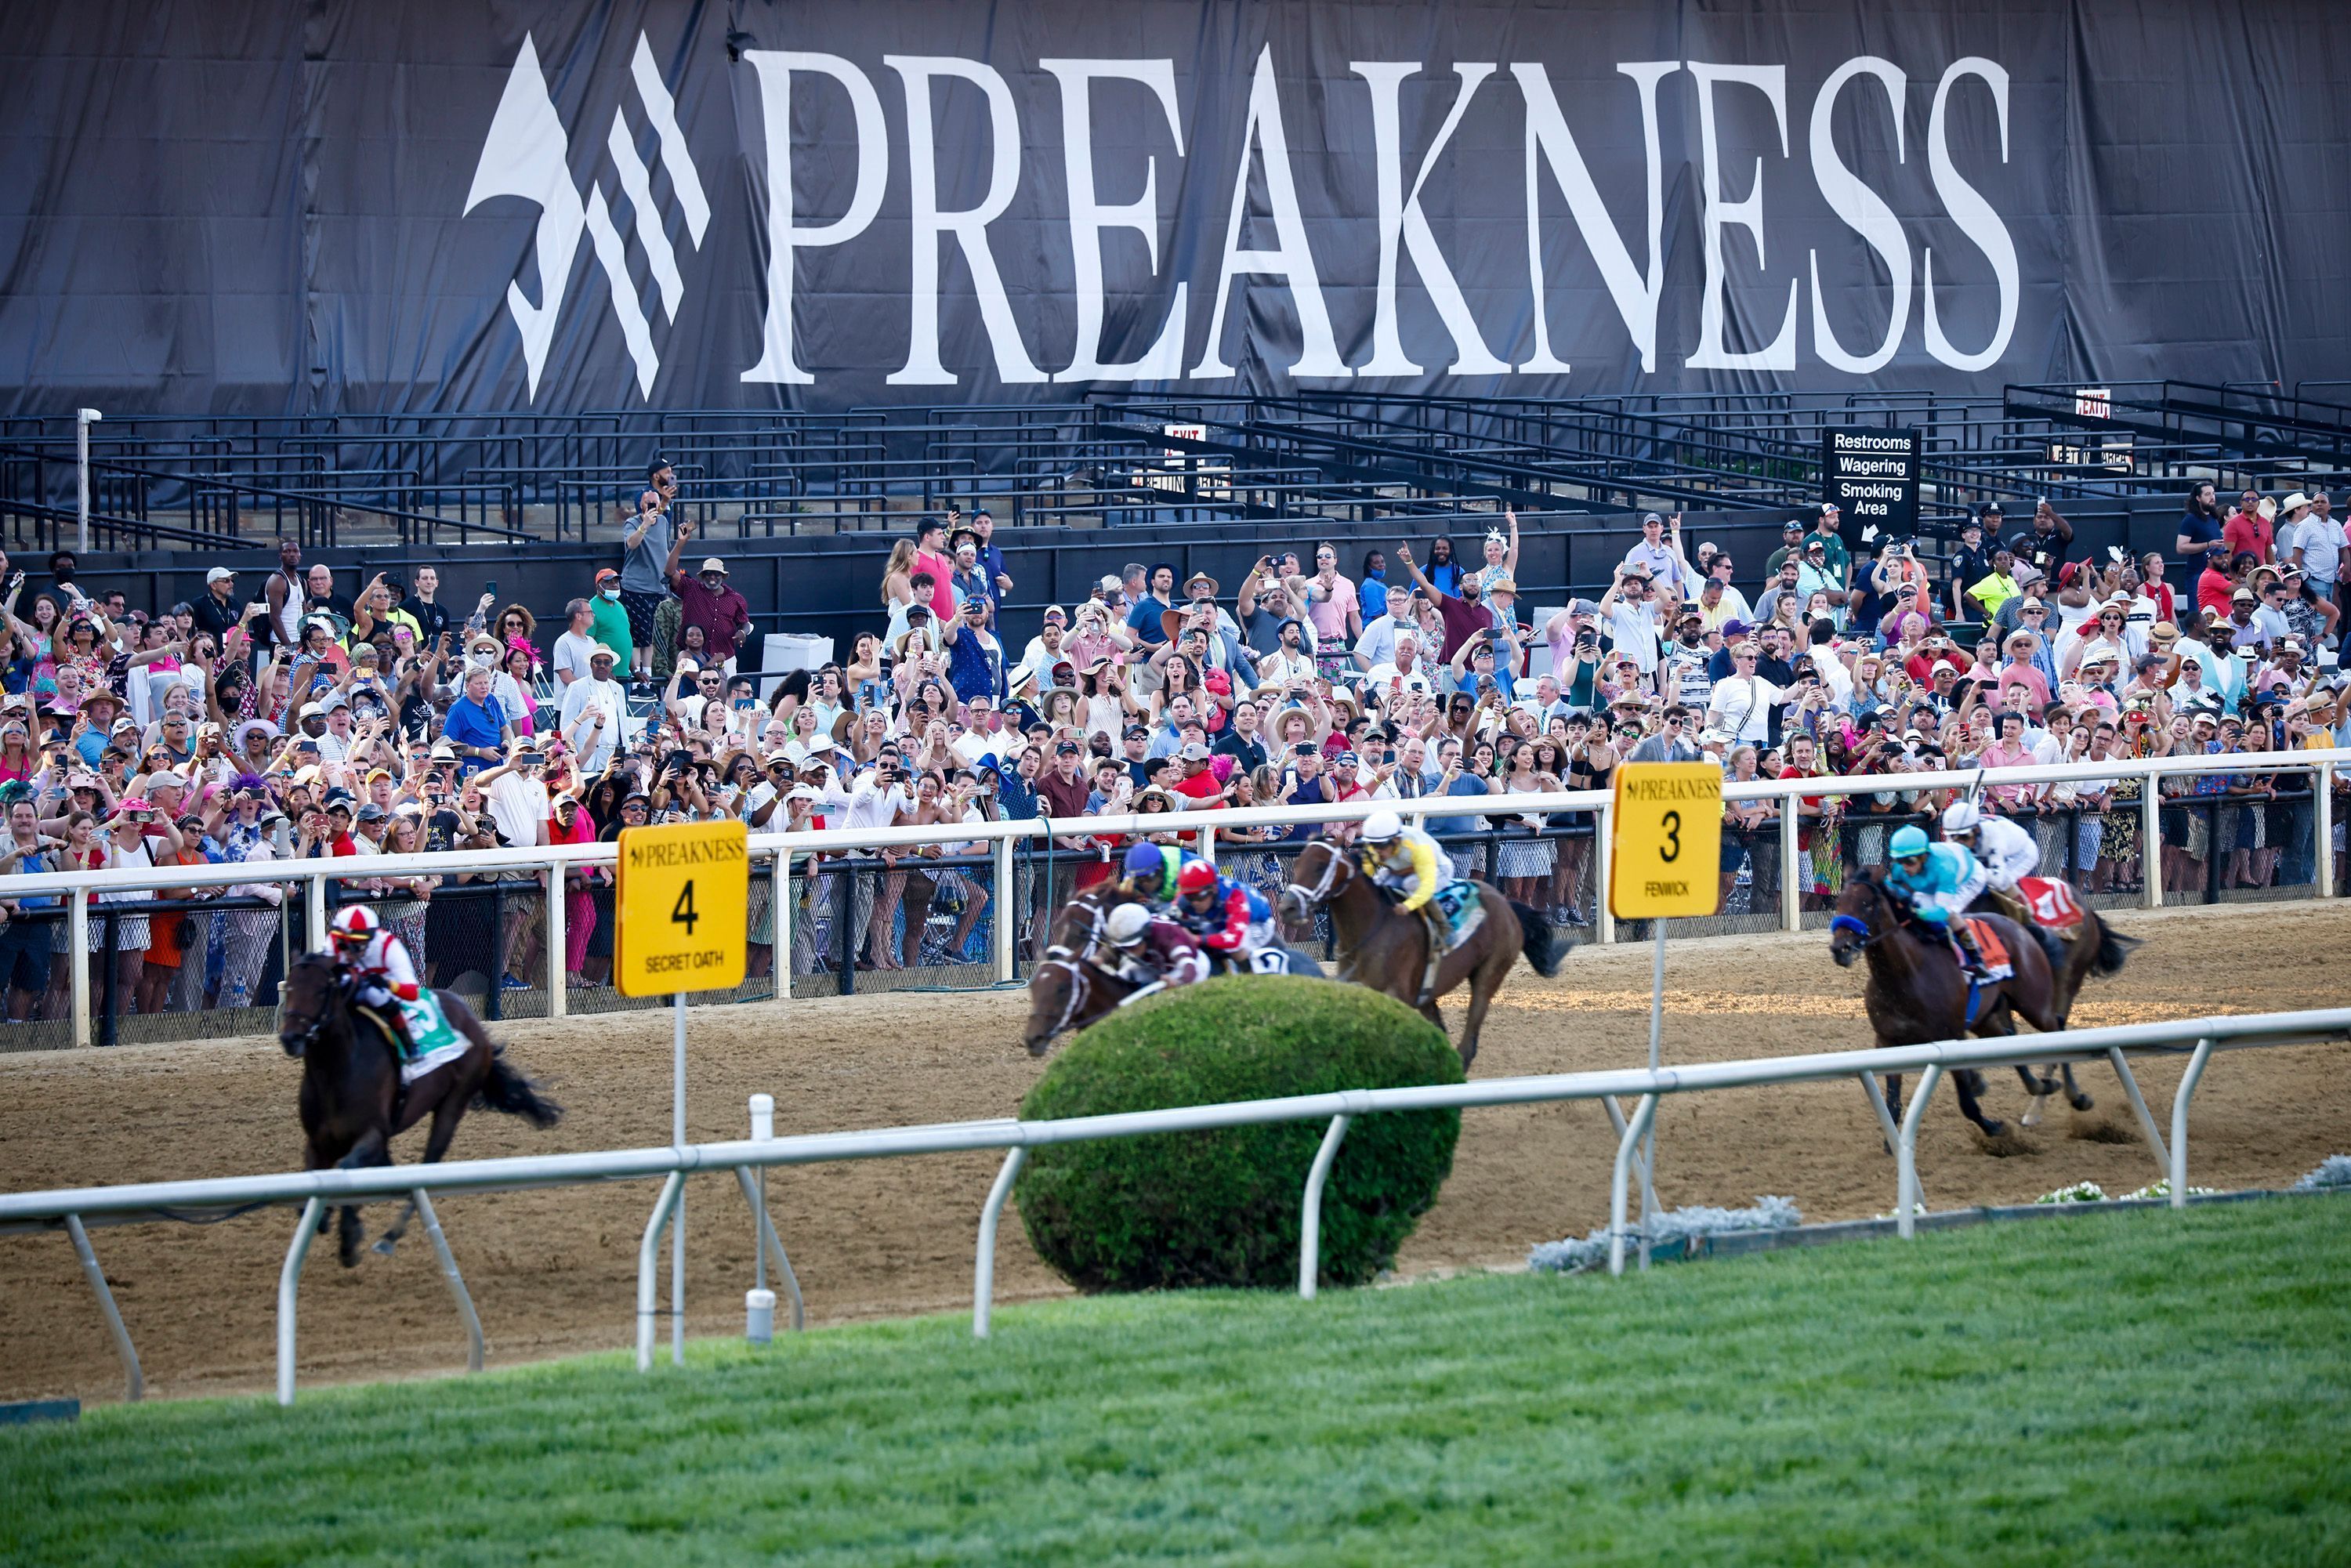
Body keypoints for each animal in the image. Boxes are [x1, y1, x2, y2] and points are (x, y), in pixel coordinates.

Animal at [277, 950, 562, 1269]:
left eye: (321, 990)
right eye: (289, 986)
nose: (291, 1038)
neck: (338, 1071)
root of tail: (471, 1018)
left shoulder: (372, 1134)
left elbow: (348, 1169)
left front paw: (349, 1238)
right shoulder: (318, 1142)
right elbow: (316, 1189)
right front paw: (328, 1218)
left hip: (452, 1107)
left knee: (426, 1169)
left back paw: (389, 1238)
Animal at [1270, 832, 1561, 1067]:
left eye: (1320, 867)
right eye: (1297, 864)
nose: (1287, 908)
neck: (1371, 929)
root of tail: (1506, 903)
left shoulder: (1397, 996)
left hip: (1490, 971)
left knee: (1470, 1032)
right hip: (1427, 993)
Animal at [1824, 870, 2069, 1143]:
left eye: (1867, 904)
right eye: (1839, 903)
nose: (1840, 949)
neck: (1907, 976)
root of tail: (2019, 926)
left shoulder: (1952, 1037)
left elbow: (1967, 1102)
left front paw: (1993, 1127)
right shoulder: (1888, 1041)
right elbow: (1892, 1105)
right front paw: (1891, 1143)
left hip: (2034, 1004)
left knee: (2057, 1029)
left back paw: (2076, 1097)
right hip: (1984, 1018)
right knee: (2008, 1038)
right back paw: (2041, 1085)